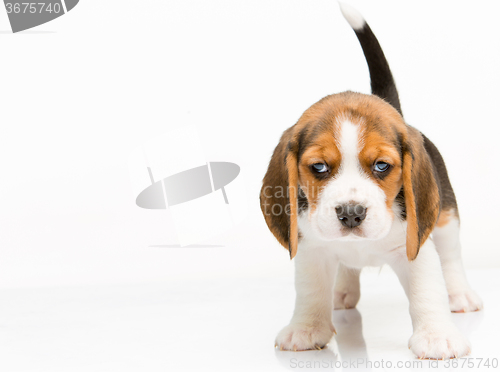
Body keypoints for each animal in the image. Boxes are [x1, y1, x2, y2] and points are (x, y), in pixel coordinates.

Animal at [260, 4, 482, 360]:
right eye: (318, 167)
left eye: (381, 166)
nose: (351, 213)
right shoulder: (312, 248)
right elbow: (310, 290)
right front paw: (306, 328)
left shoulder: (415, 247)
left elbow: (427, 290)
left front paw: (437, 336)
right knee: (346, 269)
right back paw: (341, 291)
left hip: (447, 216)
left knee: (451, 256)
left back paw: (460, 294)